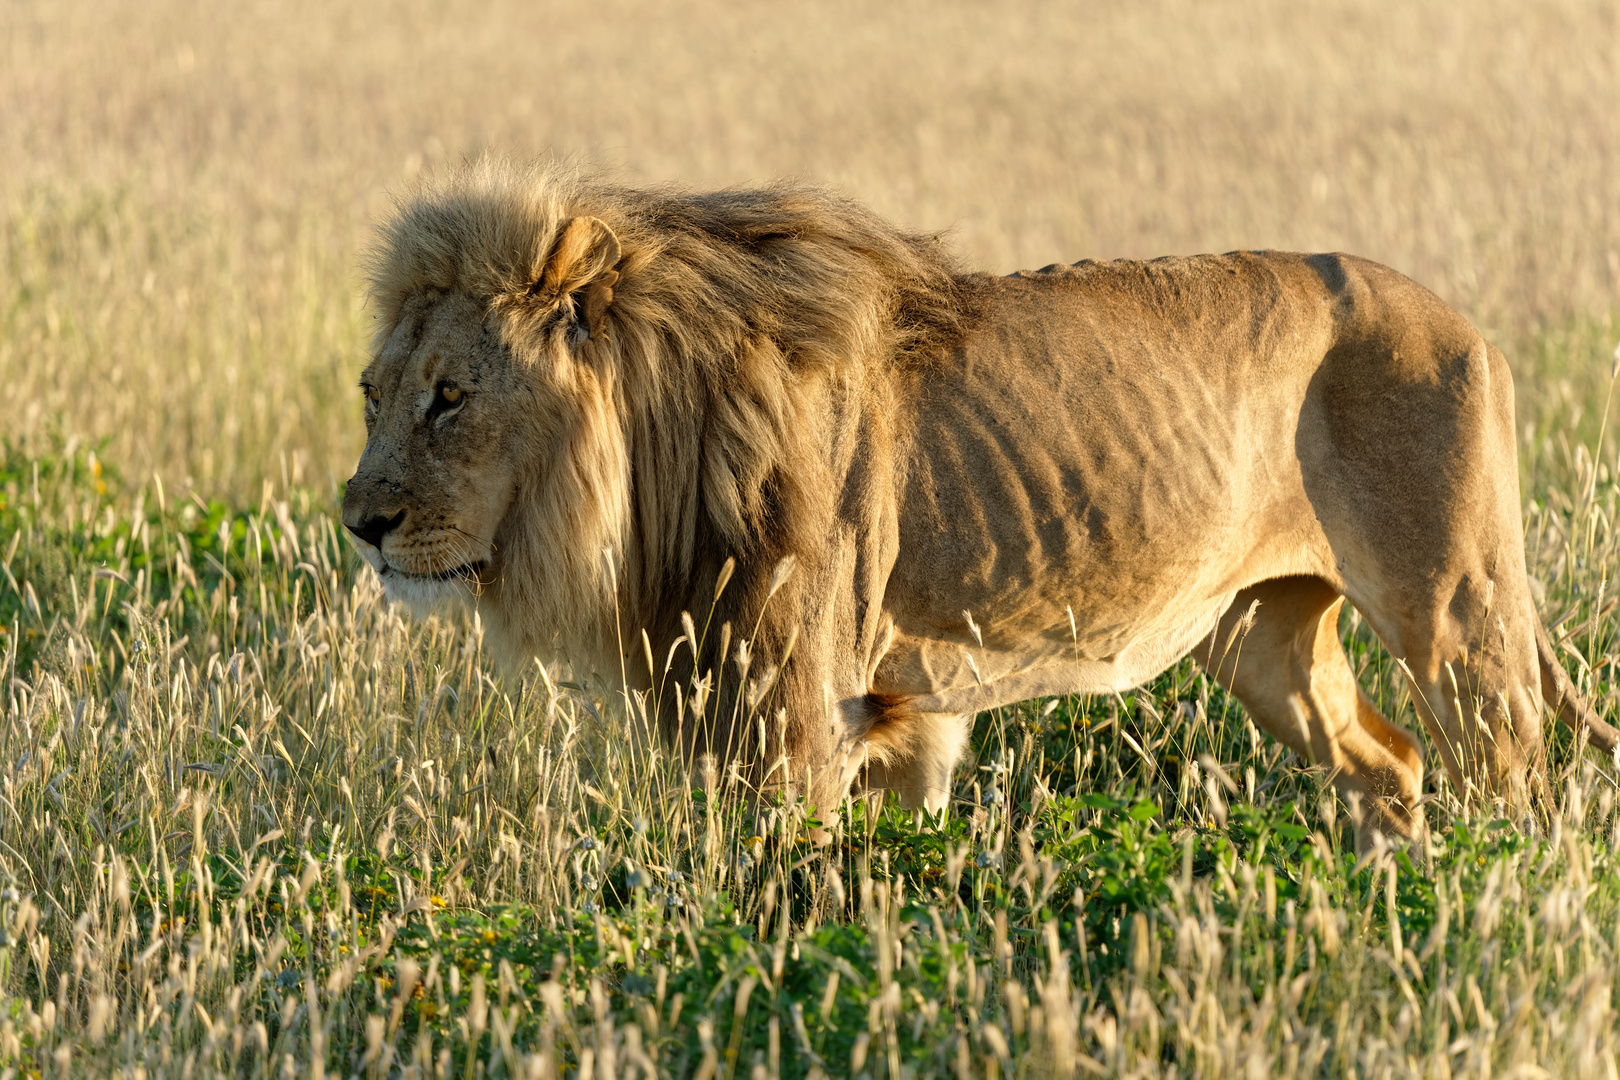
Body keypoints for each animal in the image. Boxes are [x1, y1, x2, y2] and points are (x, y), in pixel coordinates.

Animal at [345, 158, 1620, 841]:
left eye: (450, 397)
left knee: (1517, 783)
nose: (359, 523)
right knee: (1389, 765)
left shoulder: (796, 724)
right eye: (372, 394)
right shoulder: (874, 713)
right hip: (1266, 637)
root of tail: (1468, 325)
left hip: (1461, 613)